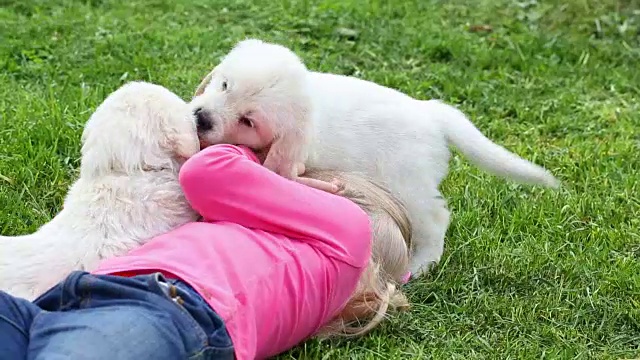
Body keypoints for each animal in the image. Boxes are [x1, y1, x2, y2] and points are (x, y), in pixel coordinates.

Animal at [190, 38, 560, 276]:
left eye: (248, 121)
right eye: (225, 85)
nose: (201, 119)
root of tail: (432, 114)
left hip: (408, 186)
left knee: (436, 219)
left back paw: (421, 265)